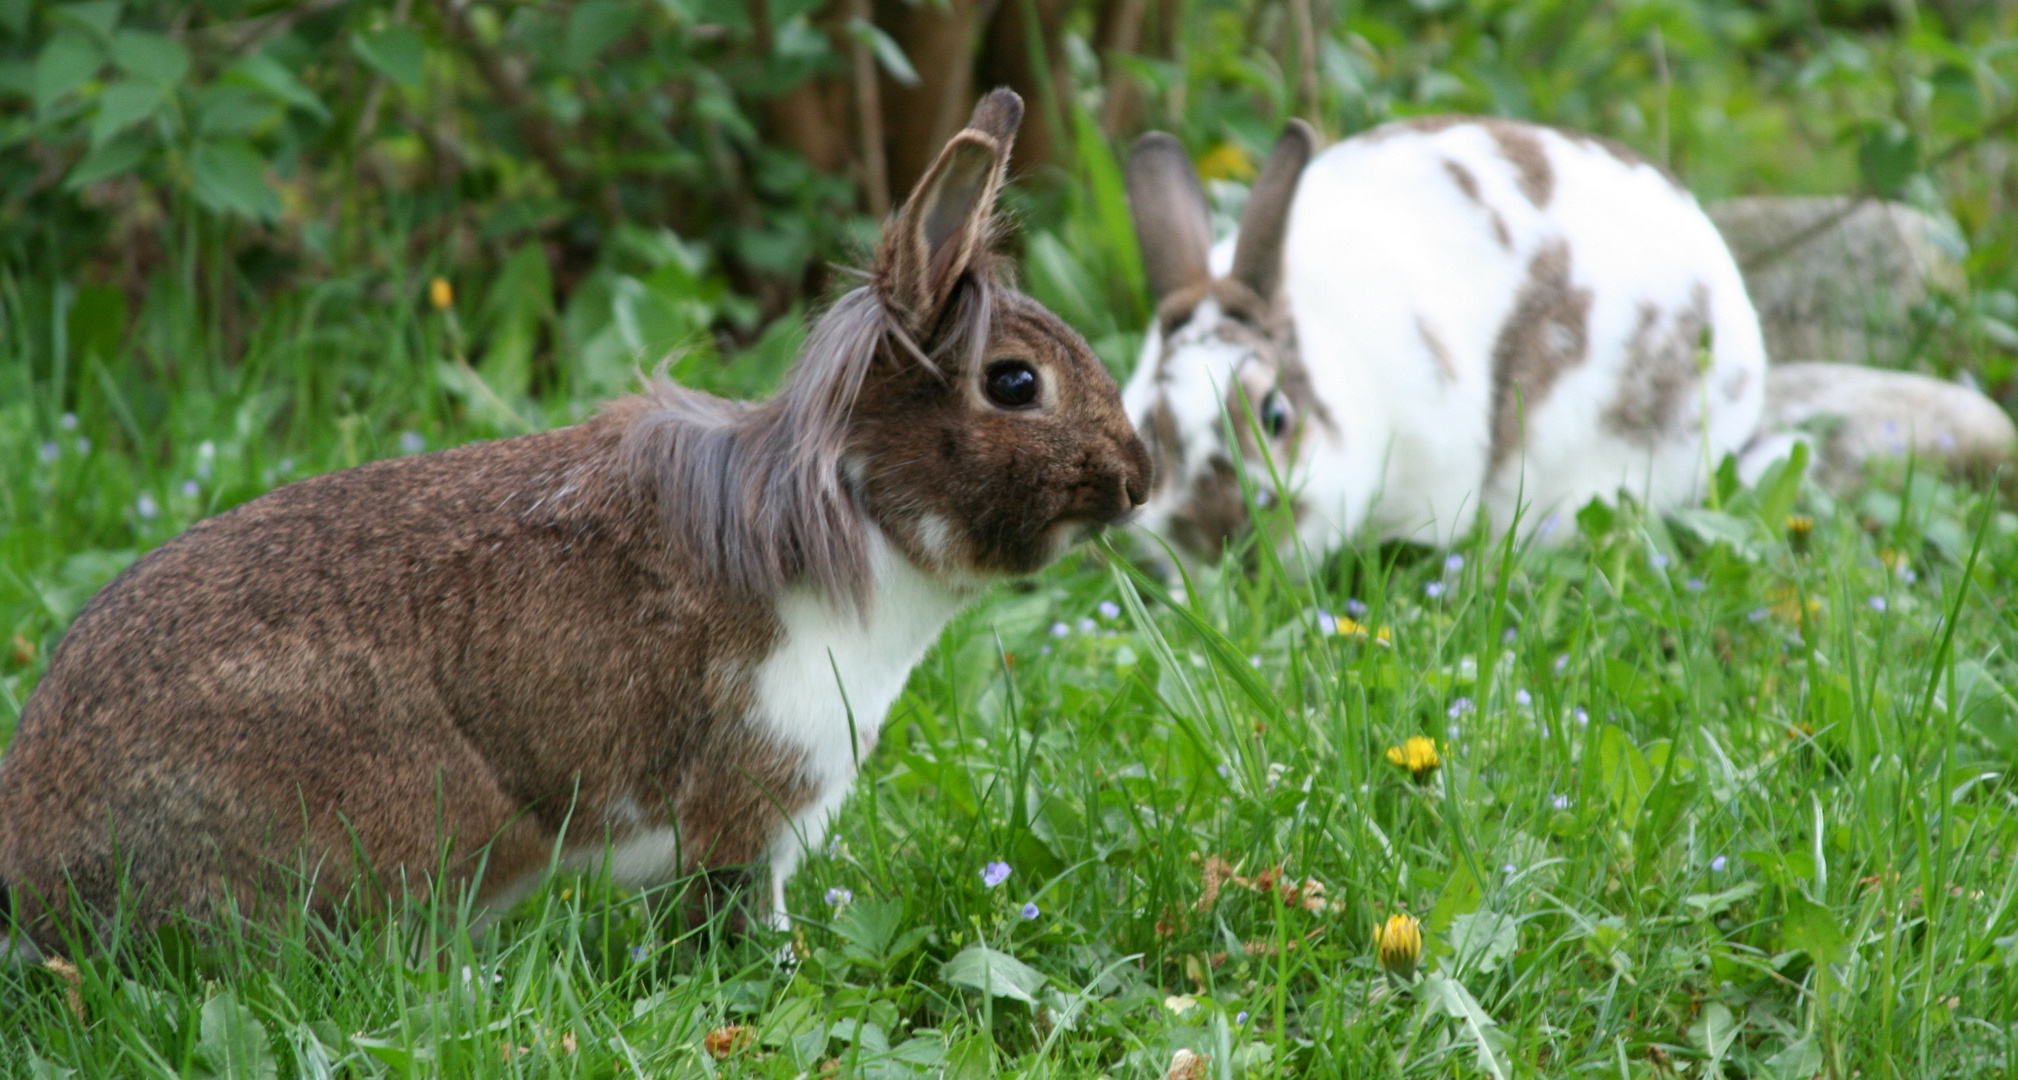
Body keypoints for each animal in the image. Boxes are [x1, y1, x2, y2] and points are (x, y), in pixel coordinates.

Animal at [0, 92, 1154, 956]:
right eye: (1014, 383)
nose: (1137, 481)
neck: (851, 508)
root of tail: (44, 870)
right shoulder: (746, 800)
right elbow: (740, 904)